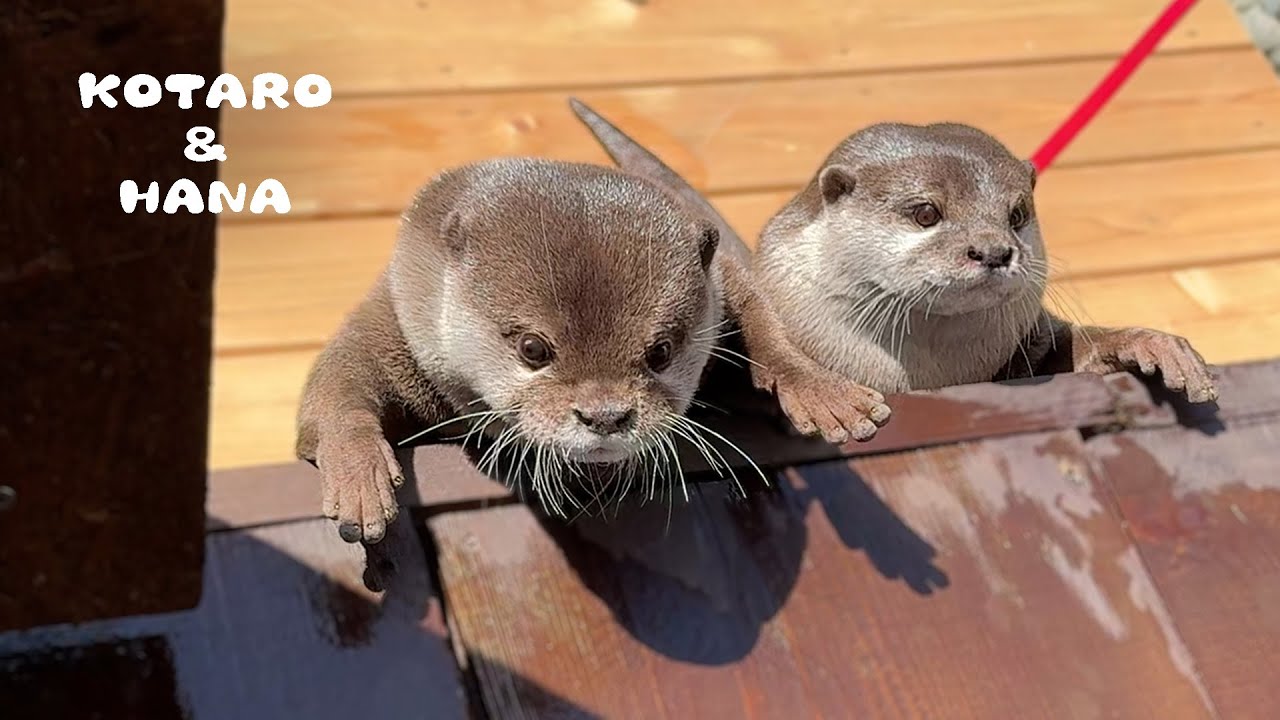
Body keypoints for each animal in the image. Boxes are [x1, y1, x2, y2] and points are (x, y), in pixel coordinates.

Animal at [567, 102, 1217, 404]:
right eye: (926, 212)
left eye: (1016, 215)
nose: (993, 250)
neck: (928, 375)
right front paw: (818, 393)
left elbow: (1072, 347)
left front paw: (1151, 346)